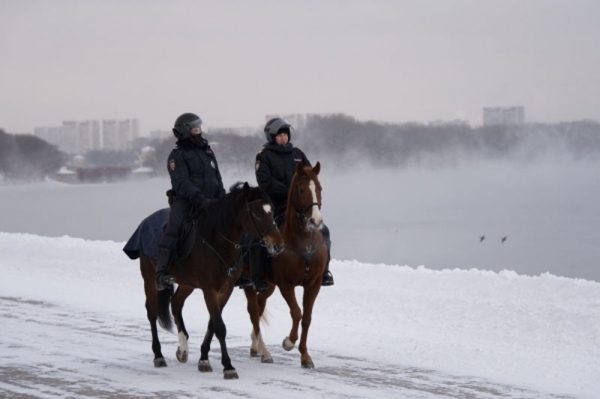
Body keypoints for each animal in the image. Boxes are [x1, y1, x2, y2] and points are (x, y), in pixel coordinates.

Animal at [123, 183, 284, 380]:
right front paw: (228, 366)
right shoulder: (209, 289)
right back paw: (159, 355)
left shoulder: (226, 289)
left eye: (272, 211)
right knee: (152, 312)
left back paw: (182, 349)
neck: (217, 240)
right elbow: (220, 326)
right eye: (257, 214)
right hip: (149, 278)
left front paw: (204, 359)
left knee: (176, 303)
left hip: (187, 283)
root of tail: (145, 222)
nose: (278, 245)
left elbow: (213, 324)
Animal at [244, 162, 328, 368]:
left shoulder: (313, 285)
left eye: (319, 188)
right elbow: (297, 312)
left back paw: (256, 346)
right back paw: (263, 350)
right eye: (301, 189)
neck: (303, 245)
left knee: (259, 306)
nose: (316, 221)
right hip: (250, 283)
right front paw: (288, 342)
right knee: (253, 310)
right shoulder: (286, 284)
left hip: (268, 286)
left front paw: (305, 356)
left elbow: (307, 318)